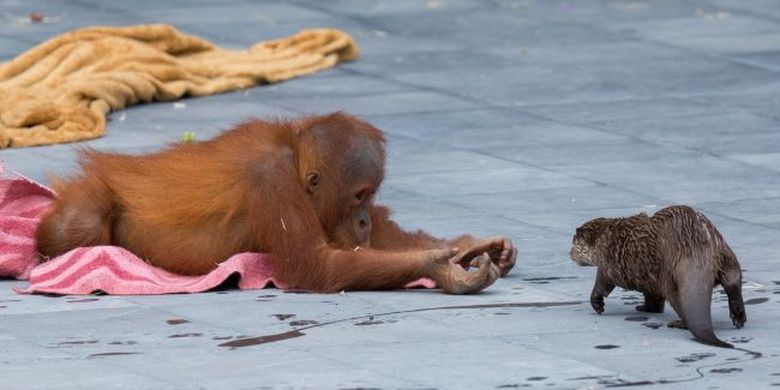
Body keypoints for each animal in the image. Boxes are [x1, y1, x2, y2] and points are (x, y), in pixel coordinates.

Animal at [568, 206, 748, 348]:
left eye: (573, 244)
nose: (569, 254)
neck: (604, 239)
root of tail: (697, 250)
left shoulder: (608, 265)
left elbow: (602, 285)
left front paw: (598, 304)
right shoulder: (649, 277)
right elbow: (652, 296)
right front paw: (646, 308)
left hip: (670, 278)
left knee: (680, 303)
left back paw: (678, 323)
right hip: (726, 254)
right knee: (733, 280)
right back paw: (739, 318)